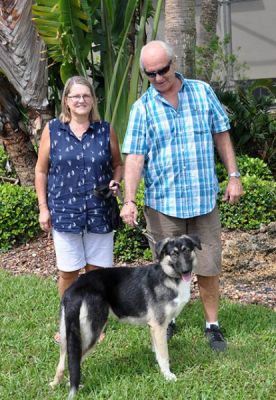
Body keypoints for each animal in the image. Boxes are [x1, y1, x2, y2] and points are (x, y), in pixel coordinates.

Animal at [49, 234, 201, 396]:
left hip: (66, 334)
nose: (186, 270)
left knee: (63, 362)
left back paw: (55, 384)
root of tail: (75, 289)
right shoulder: (159, 326)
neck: (168, 276)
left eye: (187, 251)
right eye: (173, 254)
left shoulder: (153, 327)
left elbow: (157, 352)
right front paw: (168, 376)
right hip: (90, 333)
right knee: (75, 360)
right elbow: (164, 355)